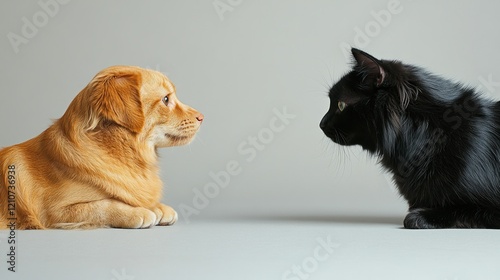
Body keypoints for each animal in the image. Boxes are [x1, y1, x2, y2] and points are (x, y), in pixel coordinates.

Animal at [0, 65, 203, 230]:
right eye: (166, 99)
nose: (202, 117)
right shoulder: (54, 211)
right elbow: (103, 204)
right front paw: (136, 212)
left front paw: (156, 206)